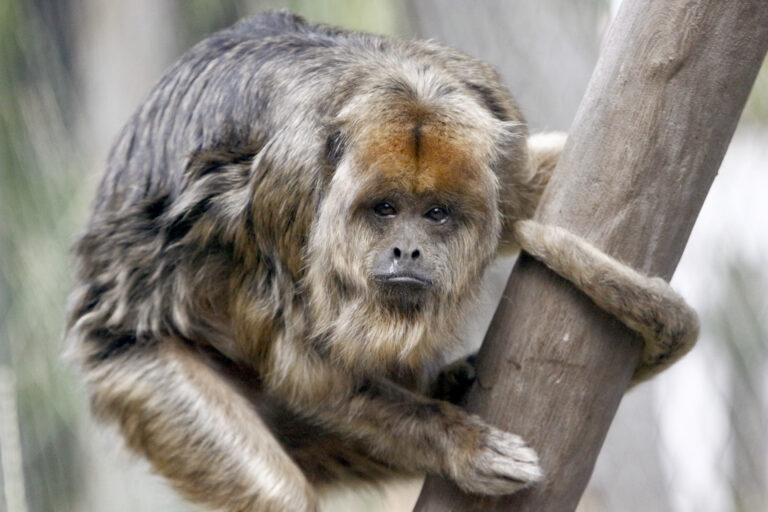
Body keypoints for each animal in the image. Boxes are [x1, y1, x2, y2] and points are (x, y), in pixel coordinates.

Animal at [65, 12, 698, 512]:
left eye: (437, 213)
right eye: (385, 209)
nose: (407, 249)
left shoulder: (502, 141)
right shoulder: (287, 191)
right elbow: (308, 372)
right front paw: (457, 442)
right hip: (128, 368)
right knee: (280, 492)